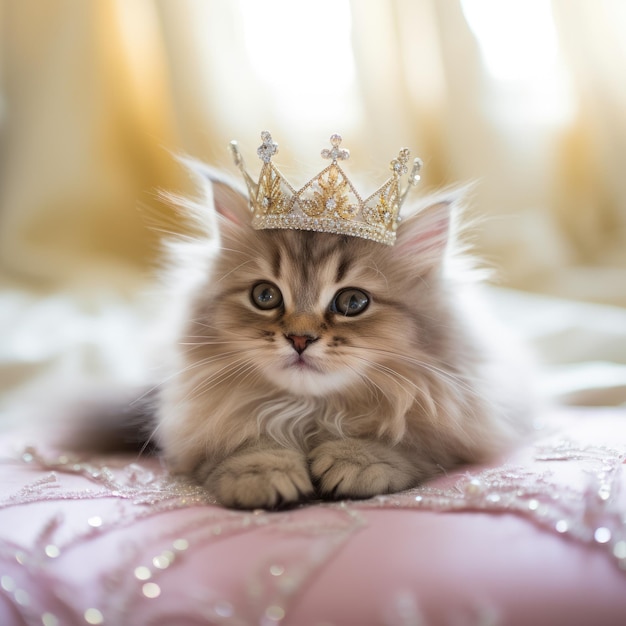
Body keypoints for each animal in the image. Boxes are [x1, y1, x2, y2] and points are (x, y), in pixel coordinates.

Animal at [150, 163, 528, 510]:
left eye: (352, 302)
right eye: (265, 296)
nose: (299, 339)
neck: (312, 412)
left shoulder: (457, 424)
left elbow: (408, 444)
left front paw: (357, 460)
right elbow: (245, 442)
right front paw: (261, 472)